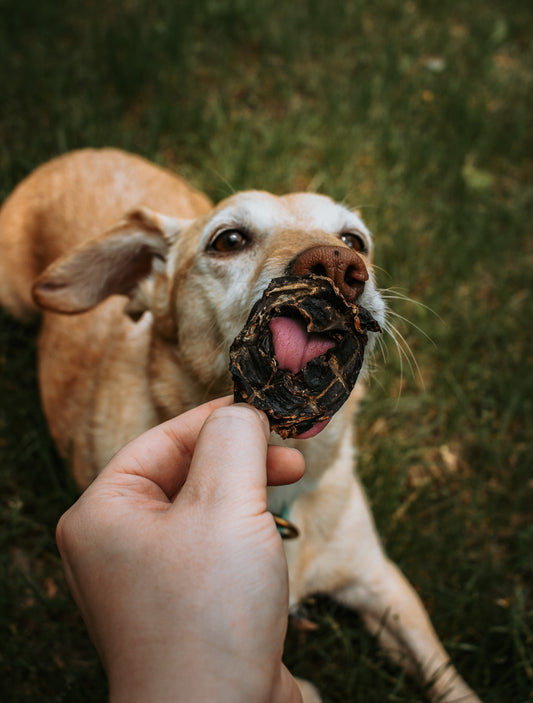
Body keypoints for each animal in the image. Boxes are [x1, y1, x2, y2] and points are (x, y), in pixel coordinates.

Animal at [0, 147, 480, 700]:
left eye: (354, 240)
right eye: (229, 240)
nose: (340, 266)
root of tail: (78, 155)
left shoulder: (381, 581)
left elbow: (446, 675)